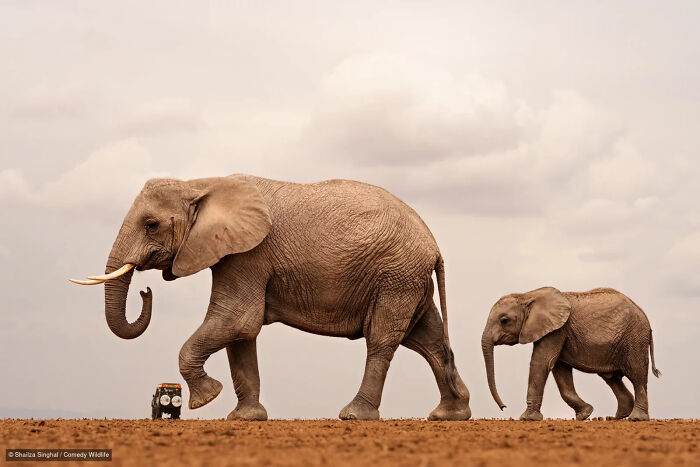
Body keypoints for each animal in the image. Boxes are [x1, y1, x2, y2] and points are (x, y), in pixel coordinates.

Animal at [71, 174, 471, 421]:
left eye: (151, 225)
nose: (145, 289)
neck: (200, 183)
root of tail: (434, 245)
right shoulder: (235, 253)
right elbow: (241, 333)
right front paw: (244, 418)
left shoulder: (249, 254)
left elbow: (238, 318)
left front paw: (207, 398)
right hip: (407, 279)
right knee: (428, 341)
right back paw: (449, 416)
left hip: (395, 276)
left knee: (383, 339)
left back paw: (354, 416)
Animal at [481, 287, 660, 422]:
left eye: (504, 320)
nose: (504, 407)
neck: (527, 295)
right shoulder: (557, 330)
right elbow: (559, 370)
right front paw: (585, 414)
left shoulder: (557, 330)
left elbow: (541, 362)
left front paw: (527, 419)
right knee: (612, 378)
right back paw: (614, 417)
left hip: (635, 339)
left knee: (637, 376)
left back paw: (636, 418)